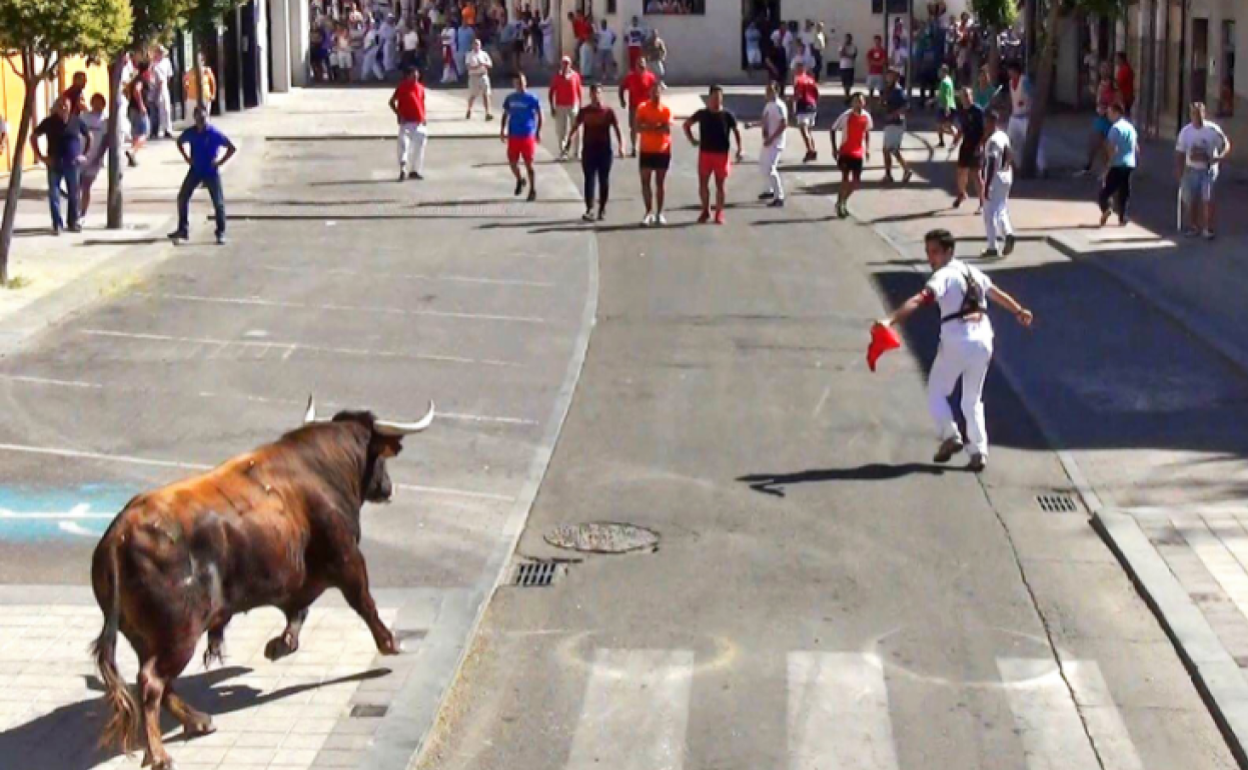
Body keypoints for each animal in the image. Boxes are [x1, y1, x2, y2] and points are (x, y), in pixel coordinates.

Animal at [90, 399, 431, 763]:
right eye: (379, 457)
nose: (388, 488)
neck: (323, 467)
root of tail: (119, 534)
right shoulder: (347, 559)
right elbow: (363, 602)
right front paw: (390, 642)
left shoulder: (300, 577)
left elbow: (299, 611)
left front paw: (279, 645)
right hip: (180, 633)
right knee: (152, 681)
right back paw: (159, 755)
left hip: (144, 636)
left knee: (156, 681)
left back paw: (198, 720)